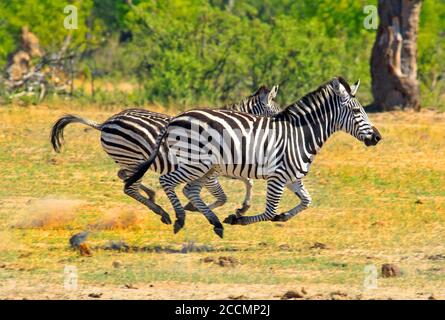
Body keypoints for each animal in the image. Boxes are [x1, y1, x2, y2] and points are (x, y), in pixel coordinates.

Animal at [50, 84, 280, 226]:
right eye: (279, 114)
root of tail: (105, 122)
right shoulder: (212, 170)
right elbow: (222, 196)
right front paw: (194, 207)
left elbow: (248, 181)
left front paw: (243, 208)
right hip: (133, 158)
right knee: (129, 185)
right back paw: (162, 212)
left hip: (130, 160)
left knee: (123, 176)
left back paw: (152, 195)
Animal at [125, 77, 382, 238]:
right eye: (357, 111)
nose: (377, 137)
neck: (300, 136)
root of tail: (175, 118)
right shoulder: (278, 178)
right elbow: (269, 211)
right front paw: (238, 218)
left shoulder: (293, 178)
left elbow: (306, 202)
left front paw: (282, 216)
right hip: (196, 163)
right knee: (167, 181)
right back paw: (179, 218)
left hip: (206, 167)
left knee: (190, 190)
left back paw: (214, 222)